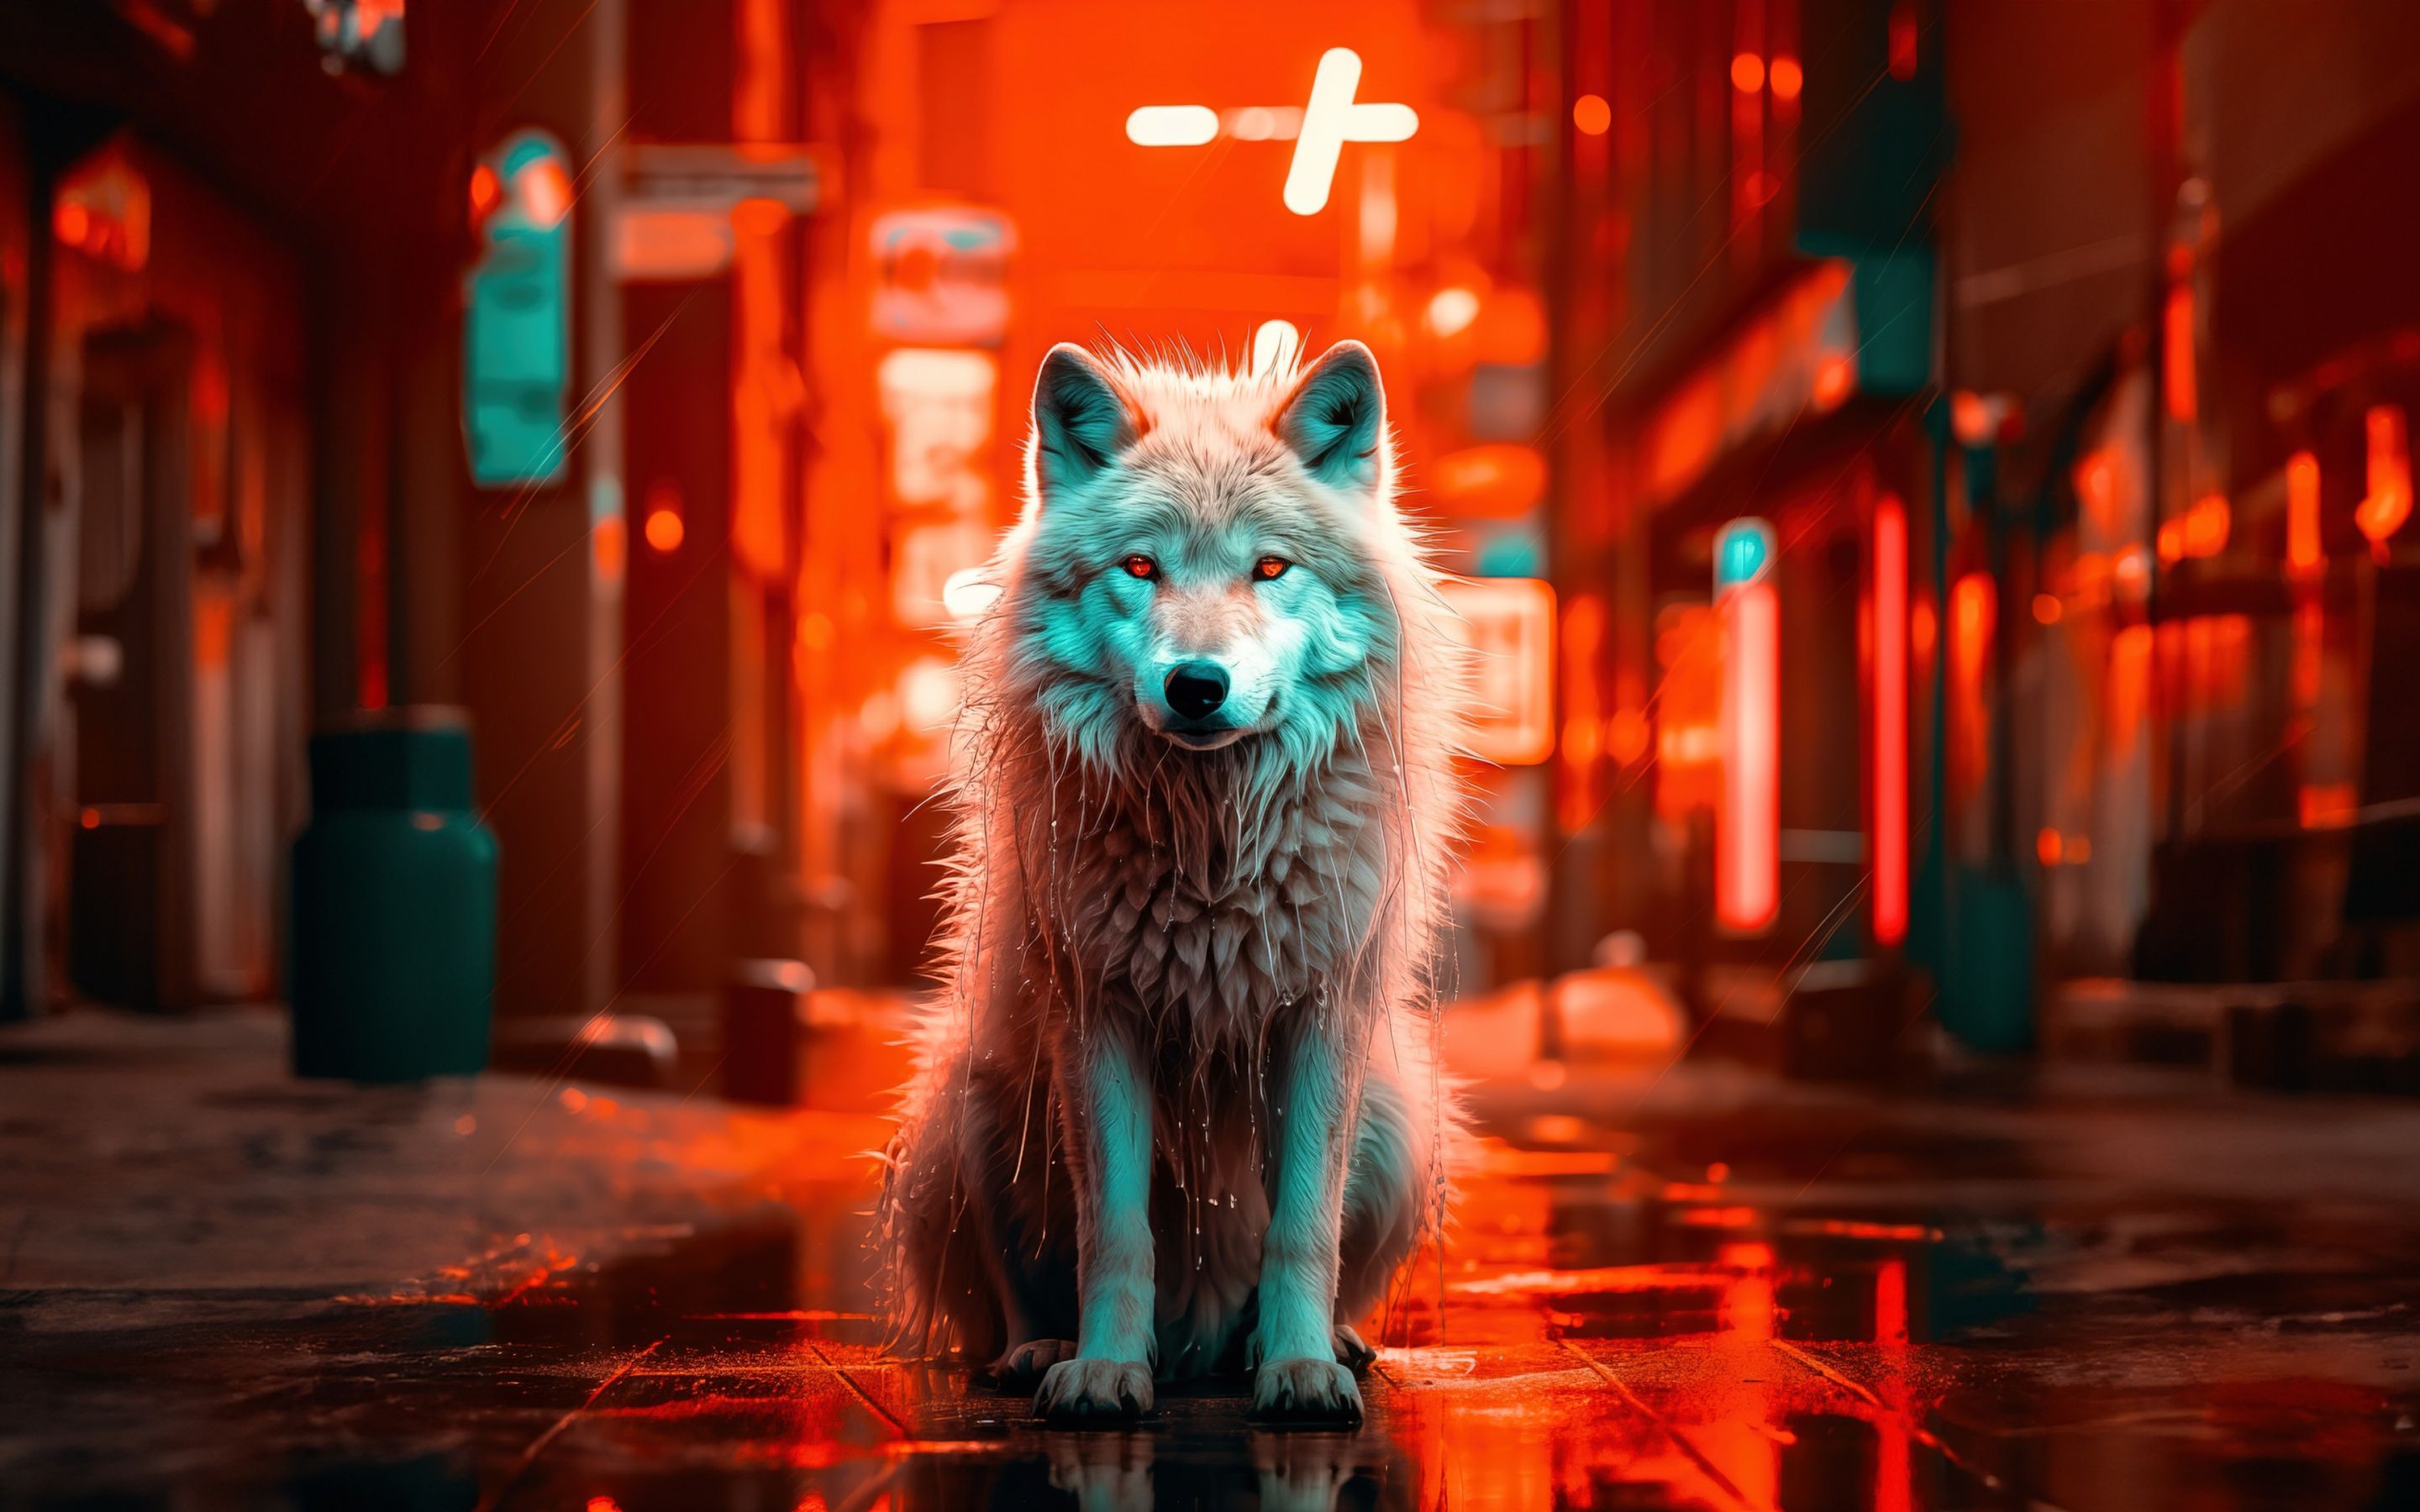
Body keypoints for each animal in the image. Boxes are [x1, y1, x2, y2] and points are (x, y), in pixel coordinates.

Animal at [874, 338, 1467, 1427]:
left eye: (1270, 567)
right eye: (1140, 567)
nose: (1197, 685)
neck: (1212, 853)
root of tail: (1199, 1338)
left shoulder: (1319, 1017)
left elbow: (1302, 1228)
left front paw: (1299, 1369)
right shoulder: (1099, 1016)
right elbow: (1114, 1231)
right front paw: (1106, 1370)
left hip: (1401, 1119)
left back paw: (1318, 1344)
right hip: (975, 1107)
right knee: (1015, 1294)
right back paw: (1042, 1351)